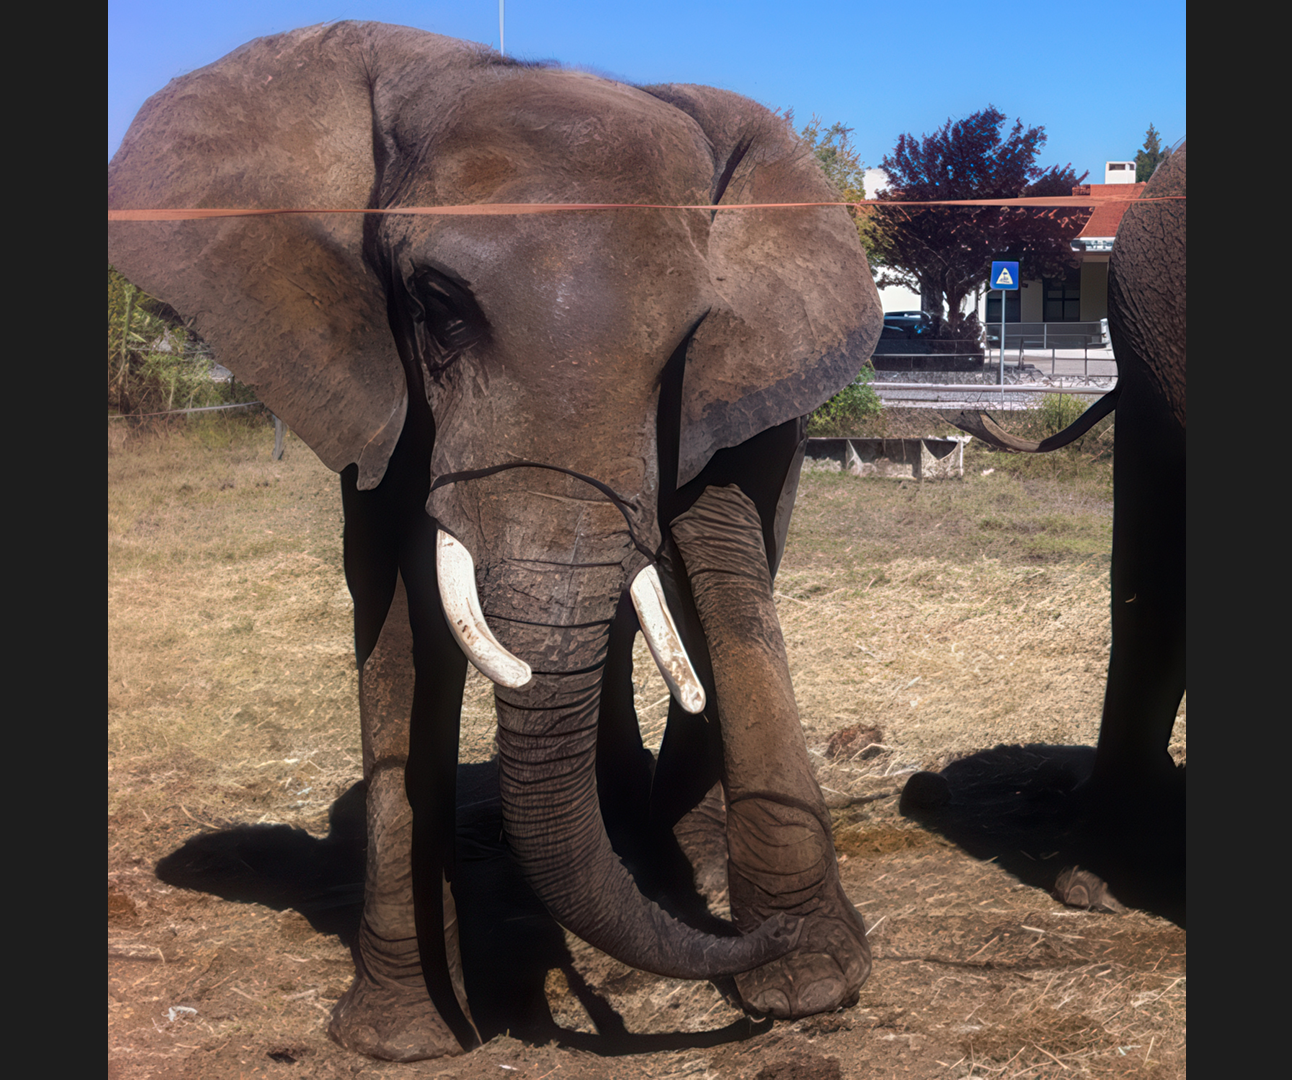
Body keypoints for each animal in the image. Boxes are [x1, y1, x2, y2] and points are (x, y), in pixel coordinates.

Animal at [108, 22, 882, 1062]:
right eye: (438, 305)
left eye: (687, 336)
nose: (764, 944)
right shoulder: (374, 377)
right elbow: (398, 614)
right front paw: (404, 1040)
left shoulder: (727, 379)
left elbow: (720, 563)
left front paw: (809, 980)